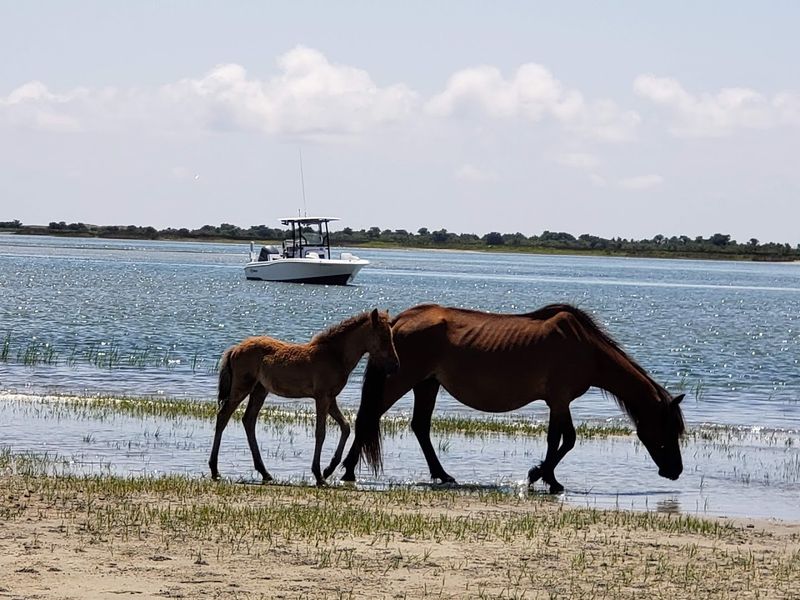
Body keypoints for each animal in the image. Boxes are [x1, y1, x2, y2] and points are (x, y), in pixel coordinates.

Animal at [208, 309, 399, 486]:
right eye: (383, 337)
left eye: (391, 335)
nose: (395, 365)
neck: (335, 355)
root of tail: (235, 348)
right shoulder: (322, 397)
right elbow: (320, 433)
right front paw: (318, 475)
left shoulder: (331, 398)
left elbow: (345, 427)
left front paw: (328, 469)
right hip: (242, 387)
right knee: (223, 416)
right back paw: (214, 469)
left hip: (259, 391)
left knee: (248, 420)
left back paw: (264, 472)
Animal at [341, 303, 685, 493]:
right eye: (668, 429)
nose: (675, 471)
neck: (584, 348)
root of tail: (399, 320)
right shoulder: (560, 399)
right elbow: (567, 440)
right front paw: (540, 476)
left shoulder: (557, 403)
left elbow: (556, 440)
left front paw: (546, 477)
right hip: (402, 380)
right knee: (369, 417)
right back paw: (347, 471)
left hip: (427, 384)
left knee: (420, 427)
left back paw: (443, 475)